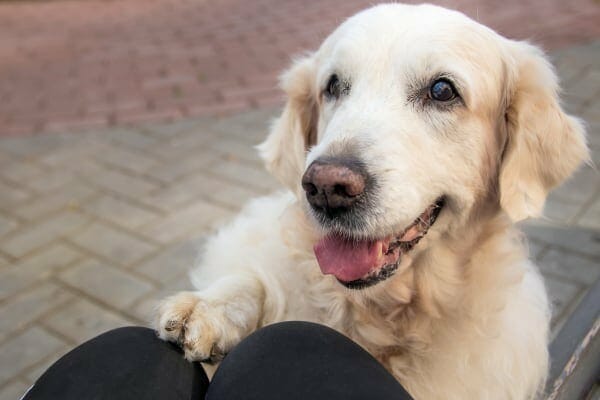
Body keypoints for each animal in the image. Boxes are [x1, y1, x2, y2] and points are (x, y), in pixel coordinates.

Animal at [156, 3, 592, 400]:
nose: (326, 187)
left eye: (442, 90)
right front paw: (211, 307)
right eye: (332, 86)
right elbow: (257, 277)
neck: (380, 315)